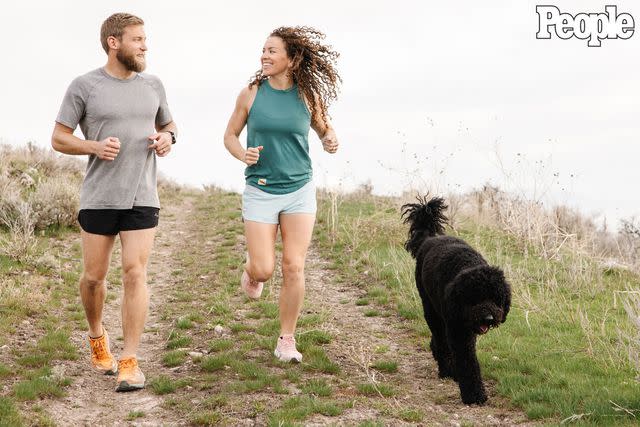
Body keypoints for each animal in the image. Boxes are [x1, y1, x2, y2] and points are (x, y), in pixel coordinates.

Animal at [402, 197, 512, 404]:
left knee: (440, 338)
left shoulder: (466, 328)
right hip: (431, 307)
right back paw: (446, 368)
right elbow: (467, 362)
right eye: (475, 299)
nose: (489, 319)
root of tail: (429, 238)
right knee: (440, 336)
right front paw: (474, 395)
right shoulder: (459, 330)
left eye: (496, 299)